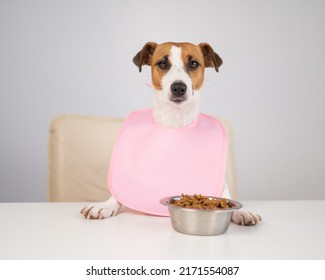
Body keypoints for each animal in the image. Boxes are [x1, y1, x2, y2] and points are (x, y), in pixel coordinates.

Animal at [80, 41, 260, 225]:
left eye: (194, 63)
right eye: (162, 63)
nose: (178, 88)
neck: (175, 120)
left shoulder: (221, 182)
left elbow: (225, 194)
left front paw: (241, 211)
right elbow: (117, 194)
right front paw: (104, 205)